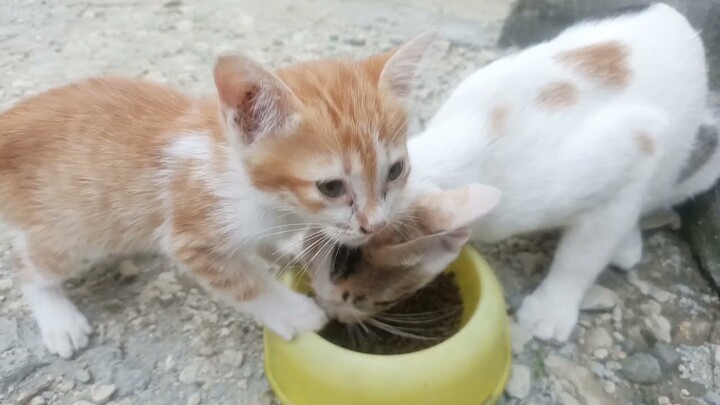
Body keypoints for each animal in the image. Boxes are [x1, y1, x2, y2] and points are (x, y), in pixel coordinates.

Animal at [0, 34, 434, 356]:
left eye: (395, 170)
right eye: (330, 187)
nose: (375, 225)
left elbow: (262, 246)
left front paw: (287, 254)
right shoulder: (190, 234)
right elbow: (245, 282)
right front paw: (293, 311)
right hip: (73, 231)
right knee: (29, 264)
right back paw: (58, 319)